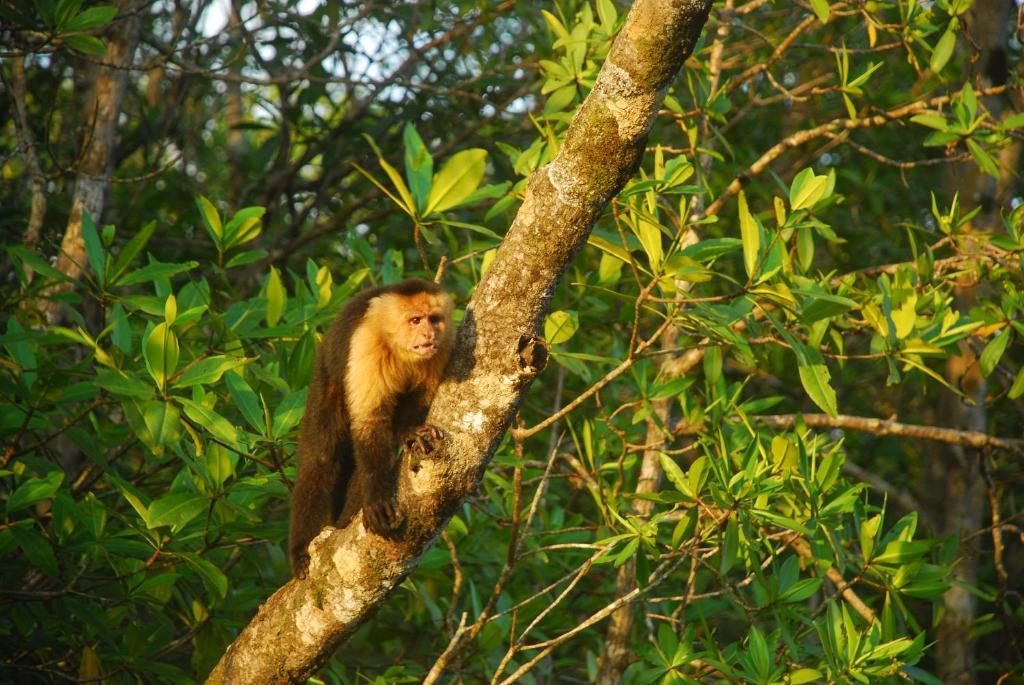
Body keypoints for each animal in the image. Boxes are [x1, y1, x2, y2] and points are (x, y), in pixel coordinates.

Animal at [286, 278, 450, 577]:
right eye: (415, 320)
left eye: (434, 319)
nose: (428, 333)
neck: (400, 349)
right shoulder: (366, 342)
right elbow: (369, 422)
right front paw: (376, 497)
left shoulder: (443, 348)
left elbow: (418, 401)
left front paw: (410, 431)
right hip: (326, 378)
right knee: (322, 458)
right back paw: (302, 549)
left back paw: (344, 520)